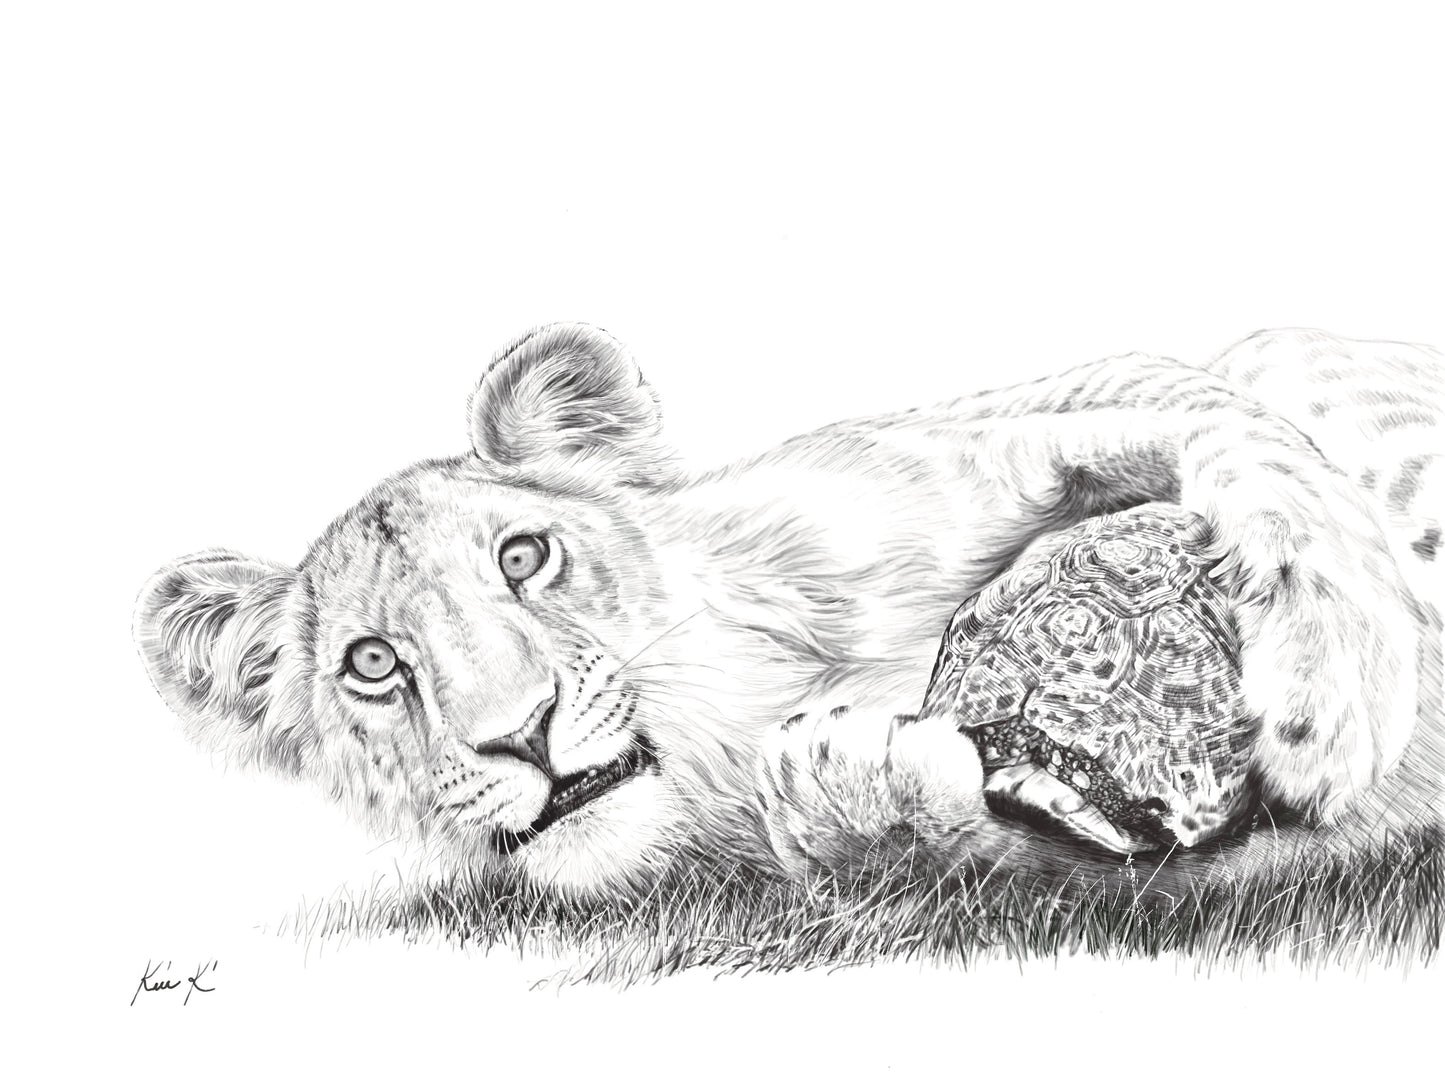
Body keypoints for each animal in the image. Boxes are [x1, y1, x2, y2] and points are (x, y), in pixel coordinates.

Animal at [135, 324, 1442, 900]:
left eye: (523, 555)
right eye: (370, 663)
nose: (520, 733)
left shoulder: (1055, 418)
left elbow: (1242, 433)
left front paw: (1329, 702)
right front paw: (854, 785)